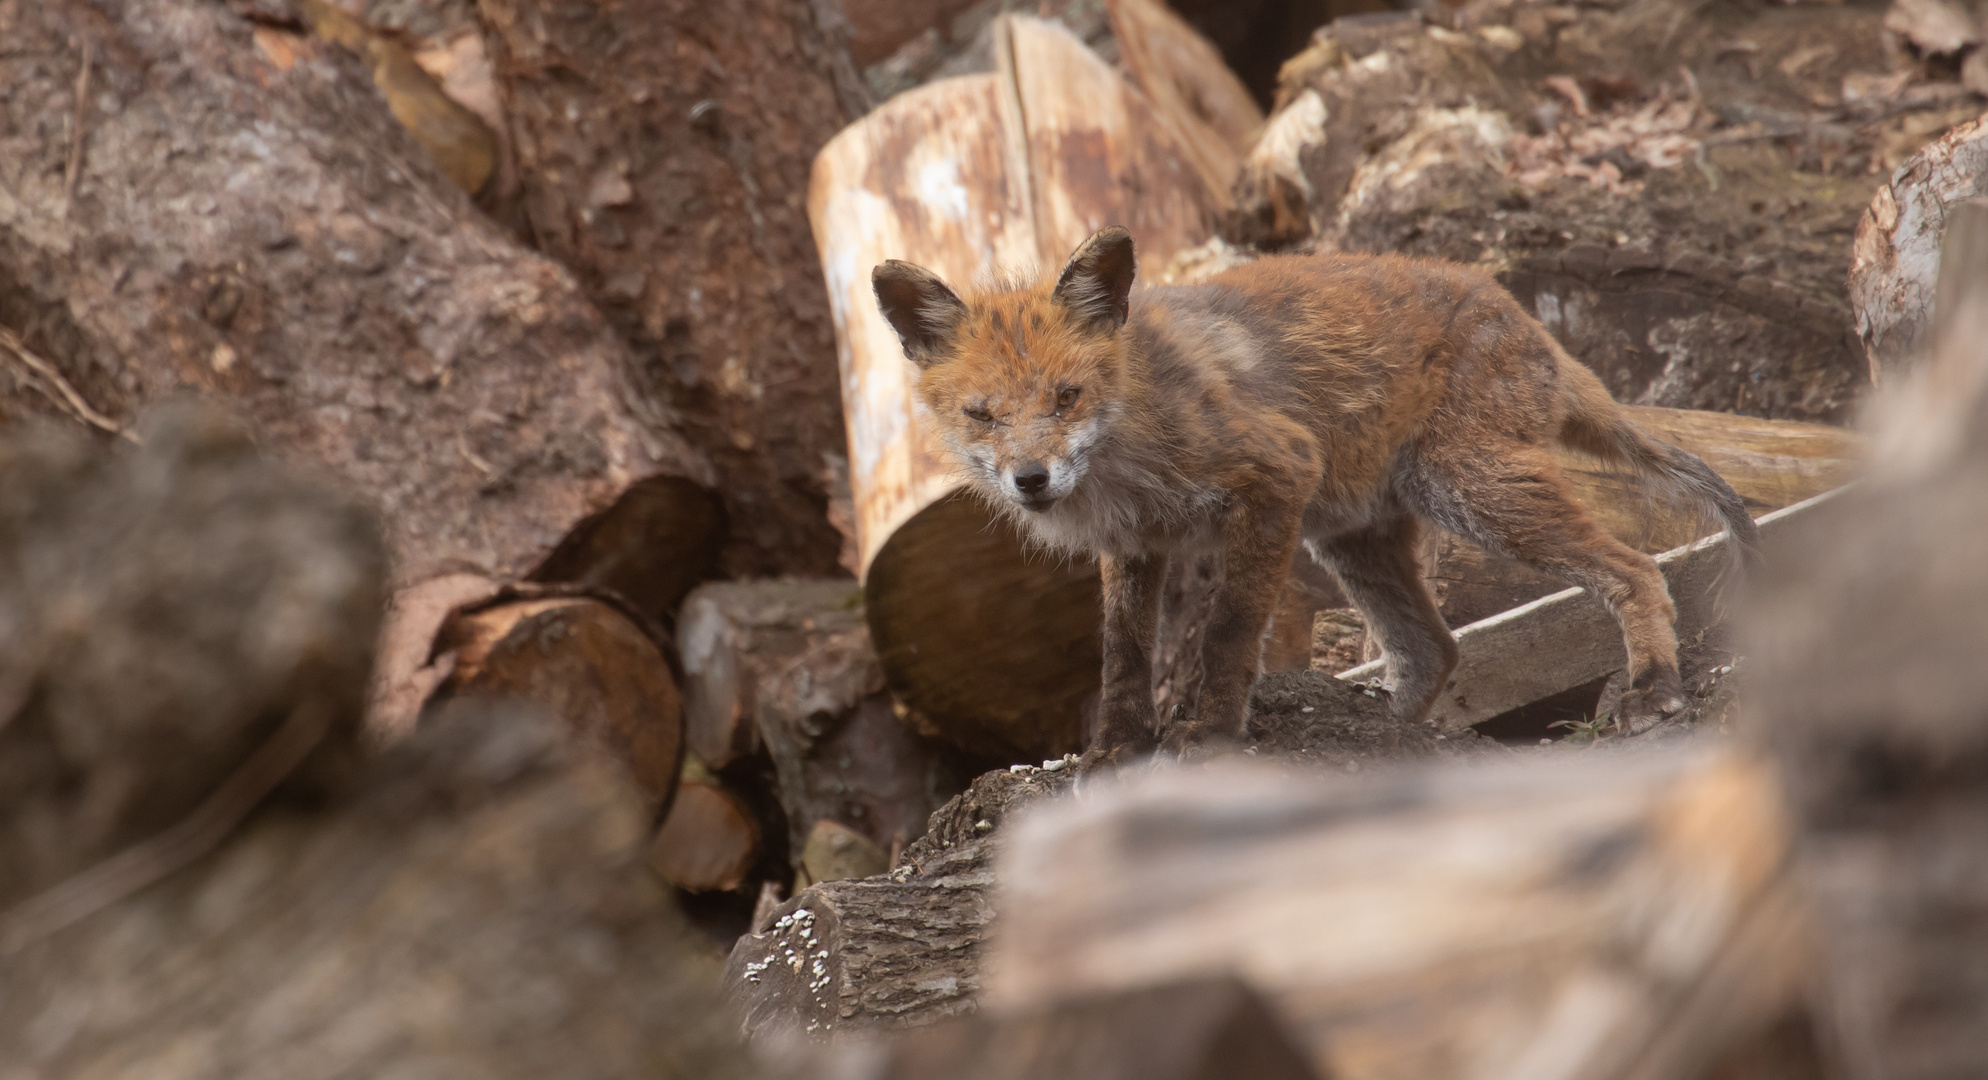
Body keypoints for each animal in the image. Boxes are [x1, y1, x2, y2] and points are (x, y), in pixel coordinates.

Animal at [870, 225, 1757, 767]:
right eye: (981, 415)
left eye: (1066, 397)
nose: (1031, 480)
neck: (1132, 435)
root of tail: (1524, 316)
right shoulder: (1136, 545)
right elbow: (1123, 655)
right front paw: (1116, 750)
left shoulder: (1275, 475)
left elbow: (1229, 629)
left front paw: (1211, 731)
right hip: (1357, 538)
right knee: (1435, 650)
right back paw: (1387, 738)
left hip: (1473, 492)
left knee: (1634, 570)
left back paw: (1652, 687)